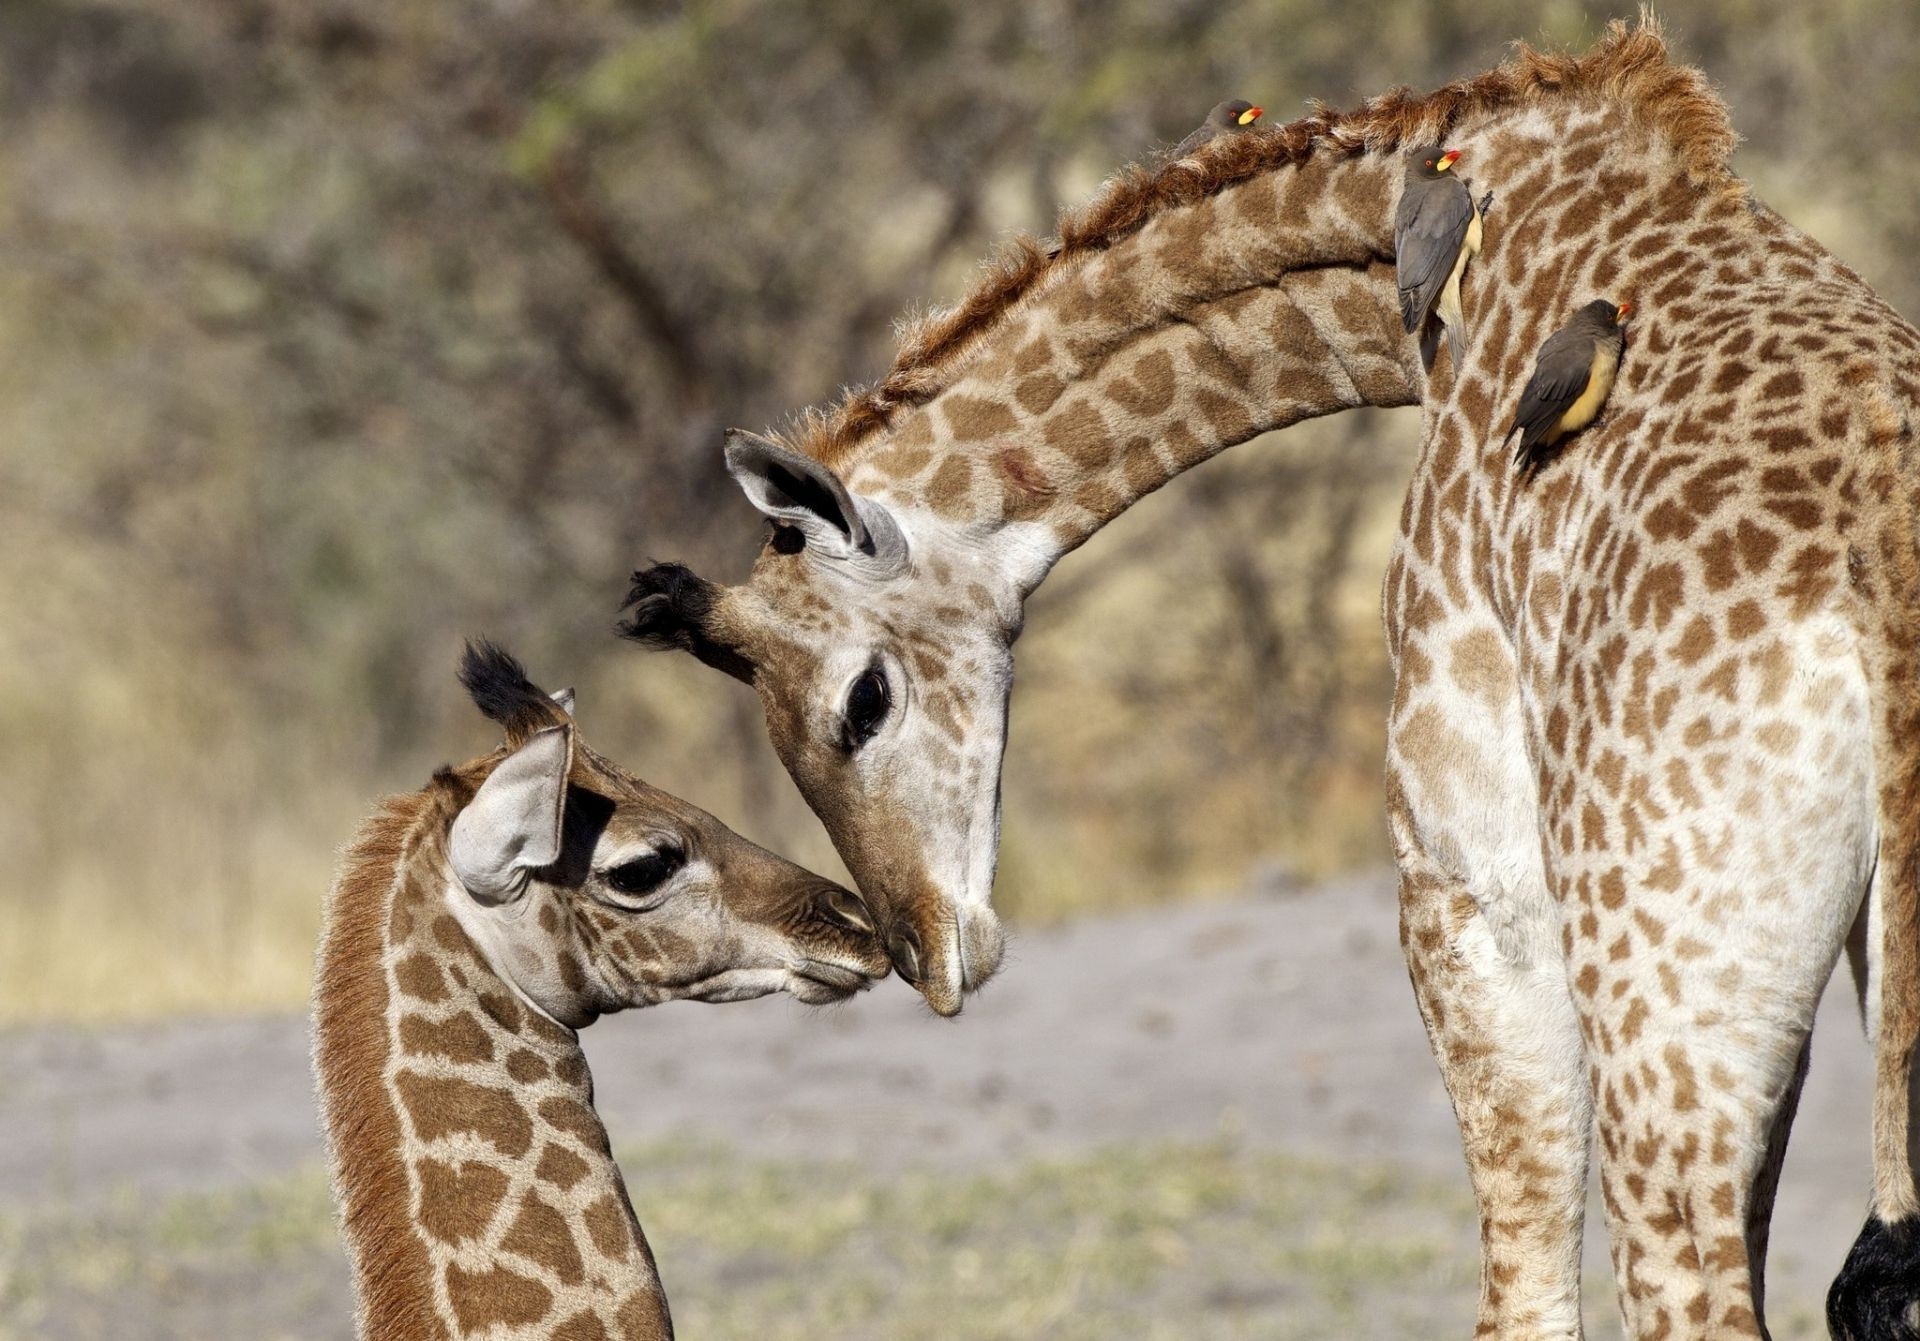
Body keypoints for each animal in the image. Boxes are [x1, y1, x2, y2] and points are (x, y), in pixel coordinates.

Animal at [622, 20, 1920, 1337]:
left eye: (862, 701)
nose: (926, 955)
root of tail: (1882, 586)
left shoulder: (1464, 873)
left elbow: (1523, 1286)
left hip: (1659, 996)